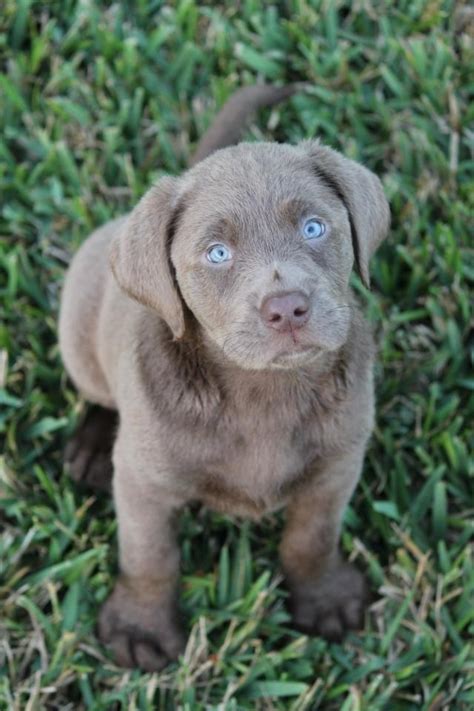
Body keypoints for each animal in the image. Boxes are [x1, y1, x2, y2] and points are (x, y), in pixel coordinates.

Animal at [58, 86, 388, 672]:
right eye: (217, 254)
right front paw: (140, 627)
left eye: (313, 227)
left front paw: (324, 598)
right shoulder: (143, 482)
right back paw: (93, 447)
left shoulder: (337, 464)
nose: (287, 308)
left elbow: (312, 539)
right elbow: (150, 555)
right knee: (98, 393)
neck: (263, 390)